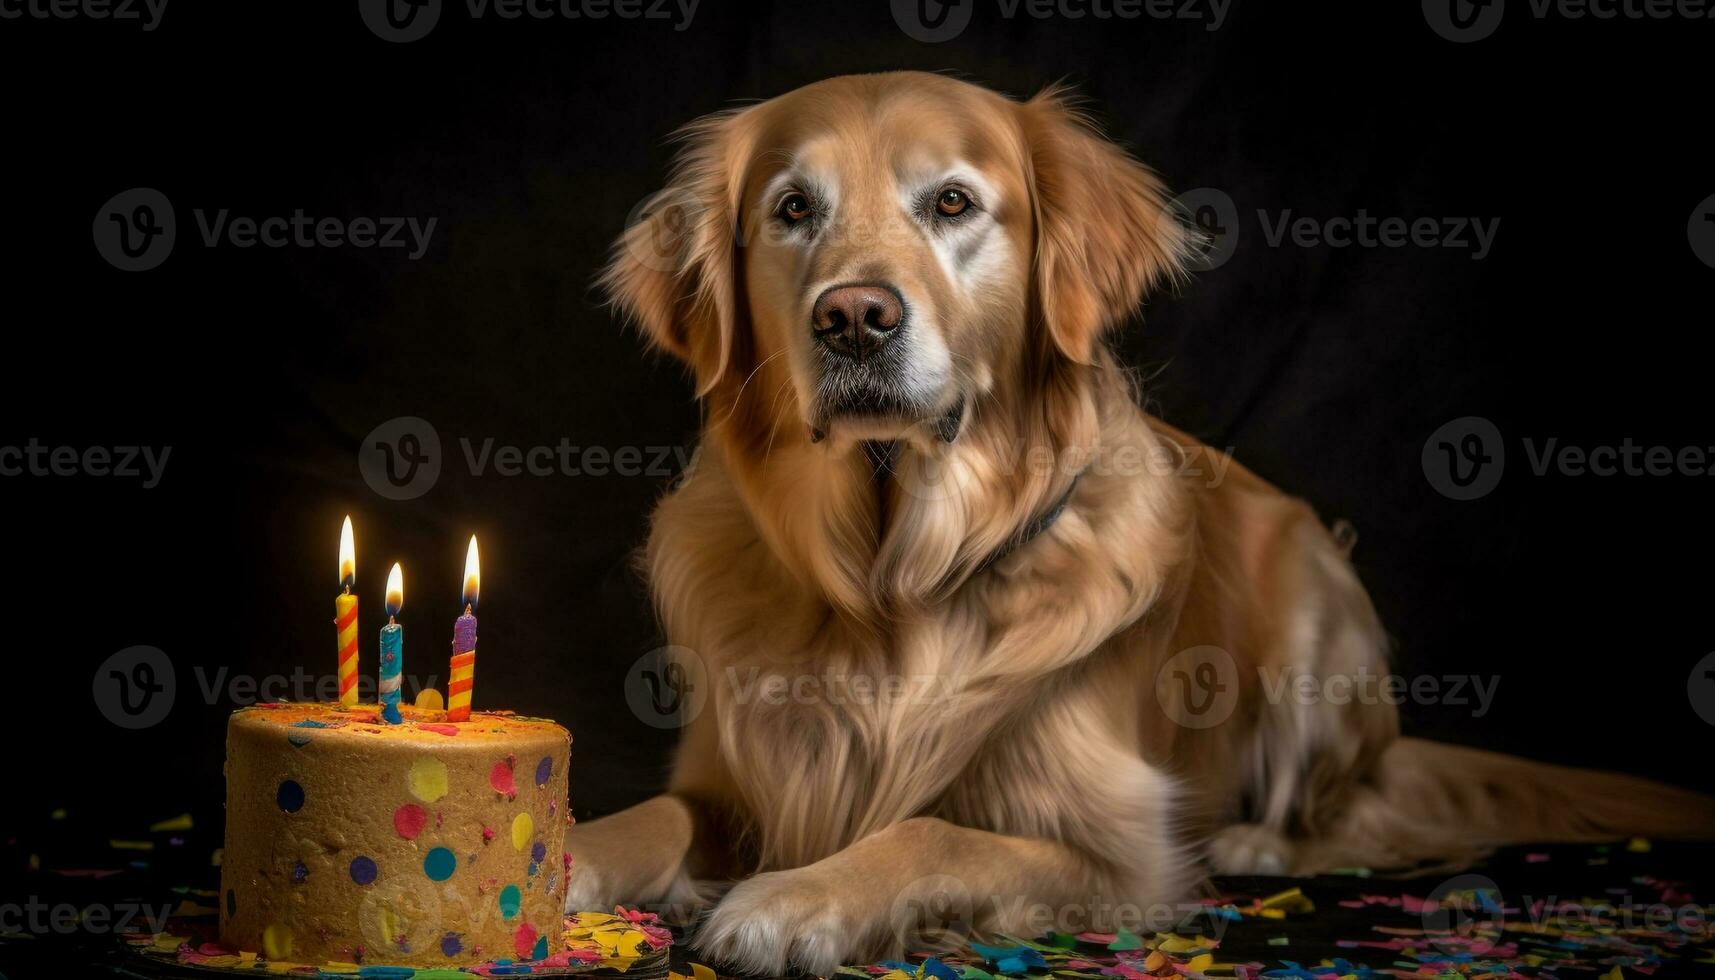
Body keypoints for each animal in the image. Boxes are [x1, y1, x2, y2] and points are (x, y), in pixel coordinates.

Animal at [565, 70, 1715, 974]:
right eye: (794, 208)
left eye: (952, 202)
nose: (853, 316)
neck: (893, 579)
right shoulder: (730, 779)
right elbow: (654, 813)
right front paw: (564, 851)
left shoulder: (1120, 852)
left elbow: (929, 831)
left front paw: (794, 895)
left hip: (1316, 611)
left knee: (1344, 809)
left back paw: (1258, 841)